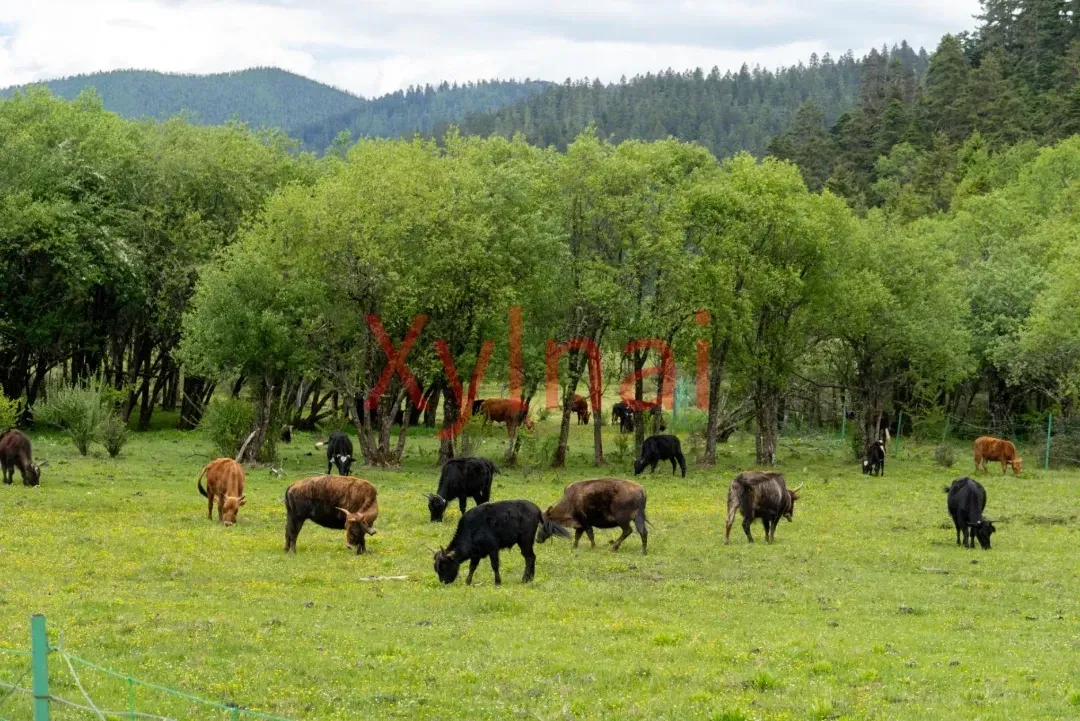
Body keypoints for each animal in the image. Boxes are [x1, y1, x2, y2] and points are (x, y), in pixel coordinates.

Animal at [432, 500, 569, 585]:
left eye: (444, 566)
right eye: (436, 569)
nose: (444, 582)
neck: (472, 528)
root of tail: (537, 510)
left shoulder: (493, 549)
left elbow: (495, 565)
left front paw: (497, 582)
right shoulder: (476, 554)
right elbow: (472, 567)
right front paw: (468, 582)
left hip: (525, 541)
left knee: (530, 557)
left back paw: (525, 579)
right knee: (531, 557)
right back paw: (530, 578)